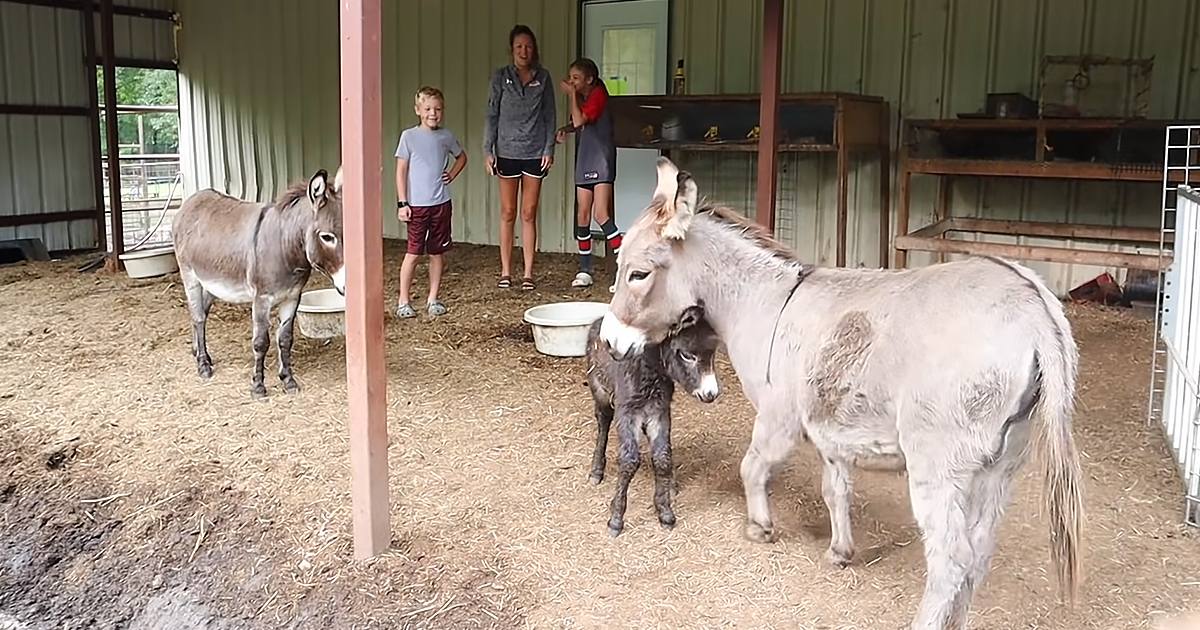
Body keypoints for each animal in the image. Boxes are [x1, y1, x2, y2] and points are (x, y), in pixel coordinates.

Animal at [172, 168, 345, 399]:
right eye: (327, 237)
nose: (346, 286)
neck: (285, 246)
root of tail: (192, 200)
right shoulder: (261, 298)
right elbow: (261, 342)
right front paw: (258, 386)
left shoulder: (292, 297)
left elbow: (285, 339)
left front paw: (288, 381)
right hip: (189, 275)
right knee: (198, 317)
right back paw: (203, 366)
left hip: (211, 282)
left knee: (202, 313)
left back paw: (199, 353)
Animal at [583, 306, 721, 535]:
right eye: (686, 355)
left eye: (712, 354)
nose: (711, 394)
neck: (650, 370)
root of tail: (598, 320)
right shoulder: (627, 413)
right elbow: (629, 461)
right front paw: (616, 519)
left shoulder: (659, 412)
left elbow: (662, 457)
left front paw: (665, 511)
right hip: (600, 391)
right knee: (603, 423)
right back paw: (596, 472)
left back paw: (671, 485)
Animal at [599, 157, 1084, 630]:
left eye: (638, 273)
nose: (609, 342)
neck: (763, 303)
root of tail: (1035, 308)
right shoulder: (831, 430)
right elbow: (836, 490)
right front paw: (840, 551)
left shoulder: (778, 419)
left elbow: (751, 468)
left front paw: (760, 528)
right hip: (1003, 462)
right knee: (979, 551)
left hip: (939, 461)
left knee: (951, 559)